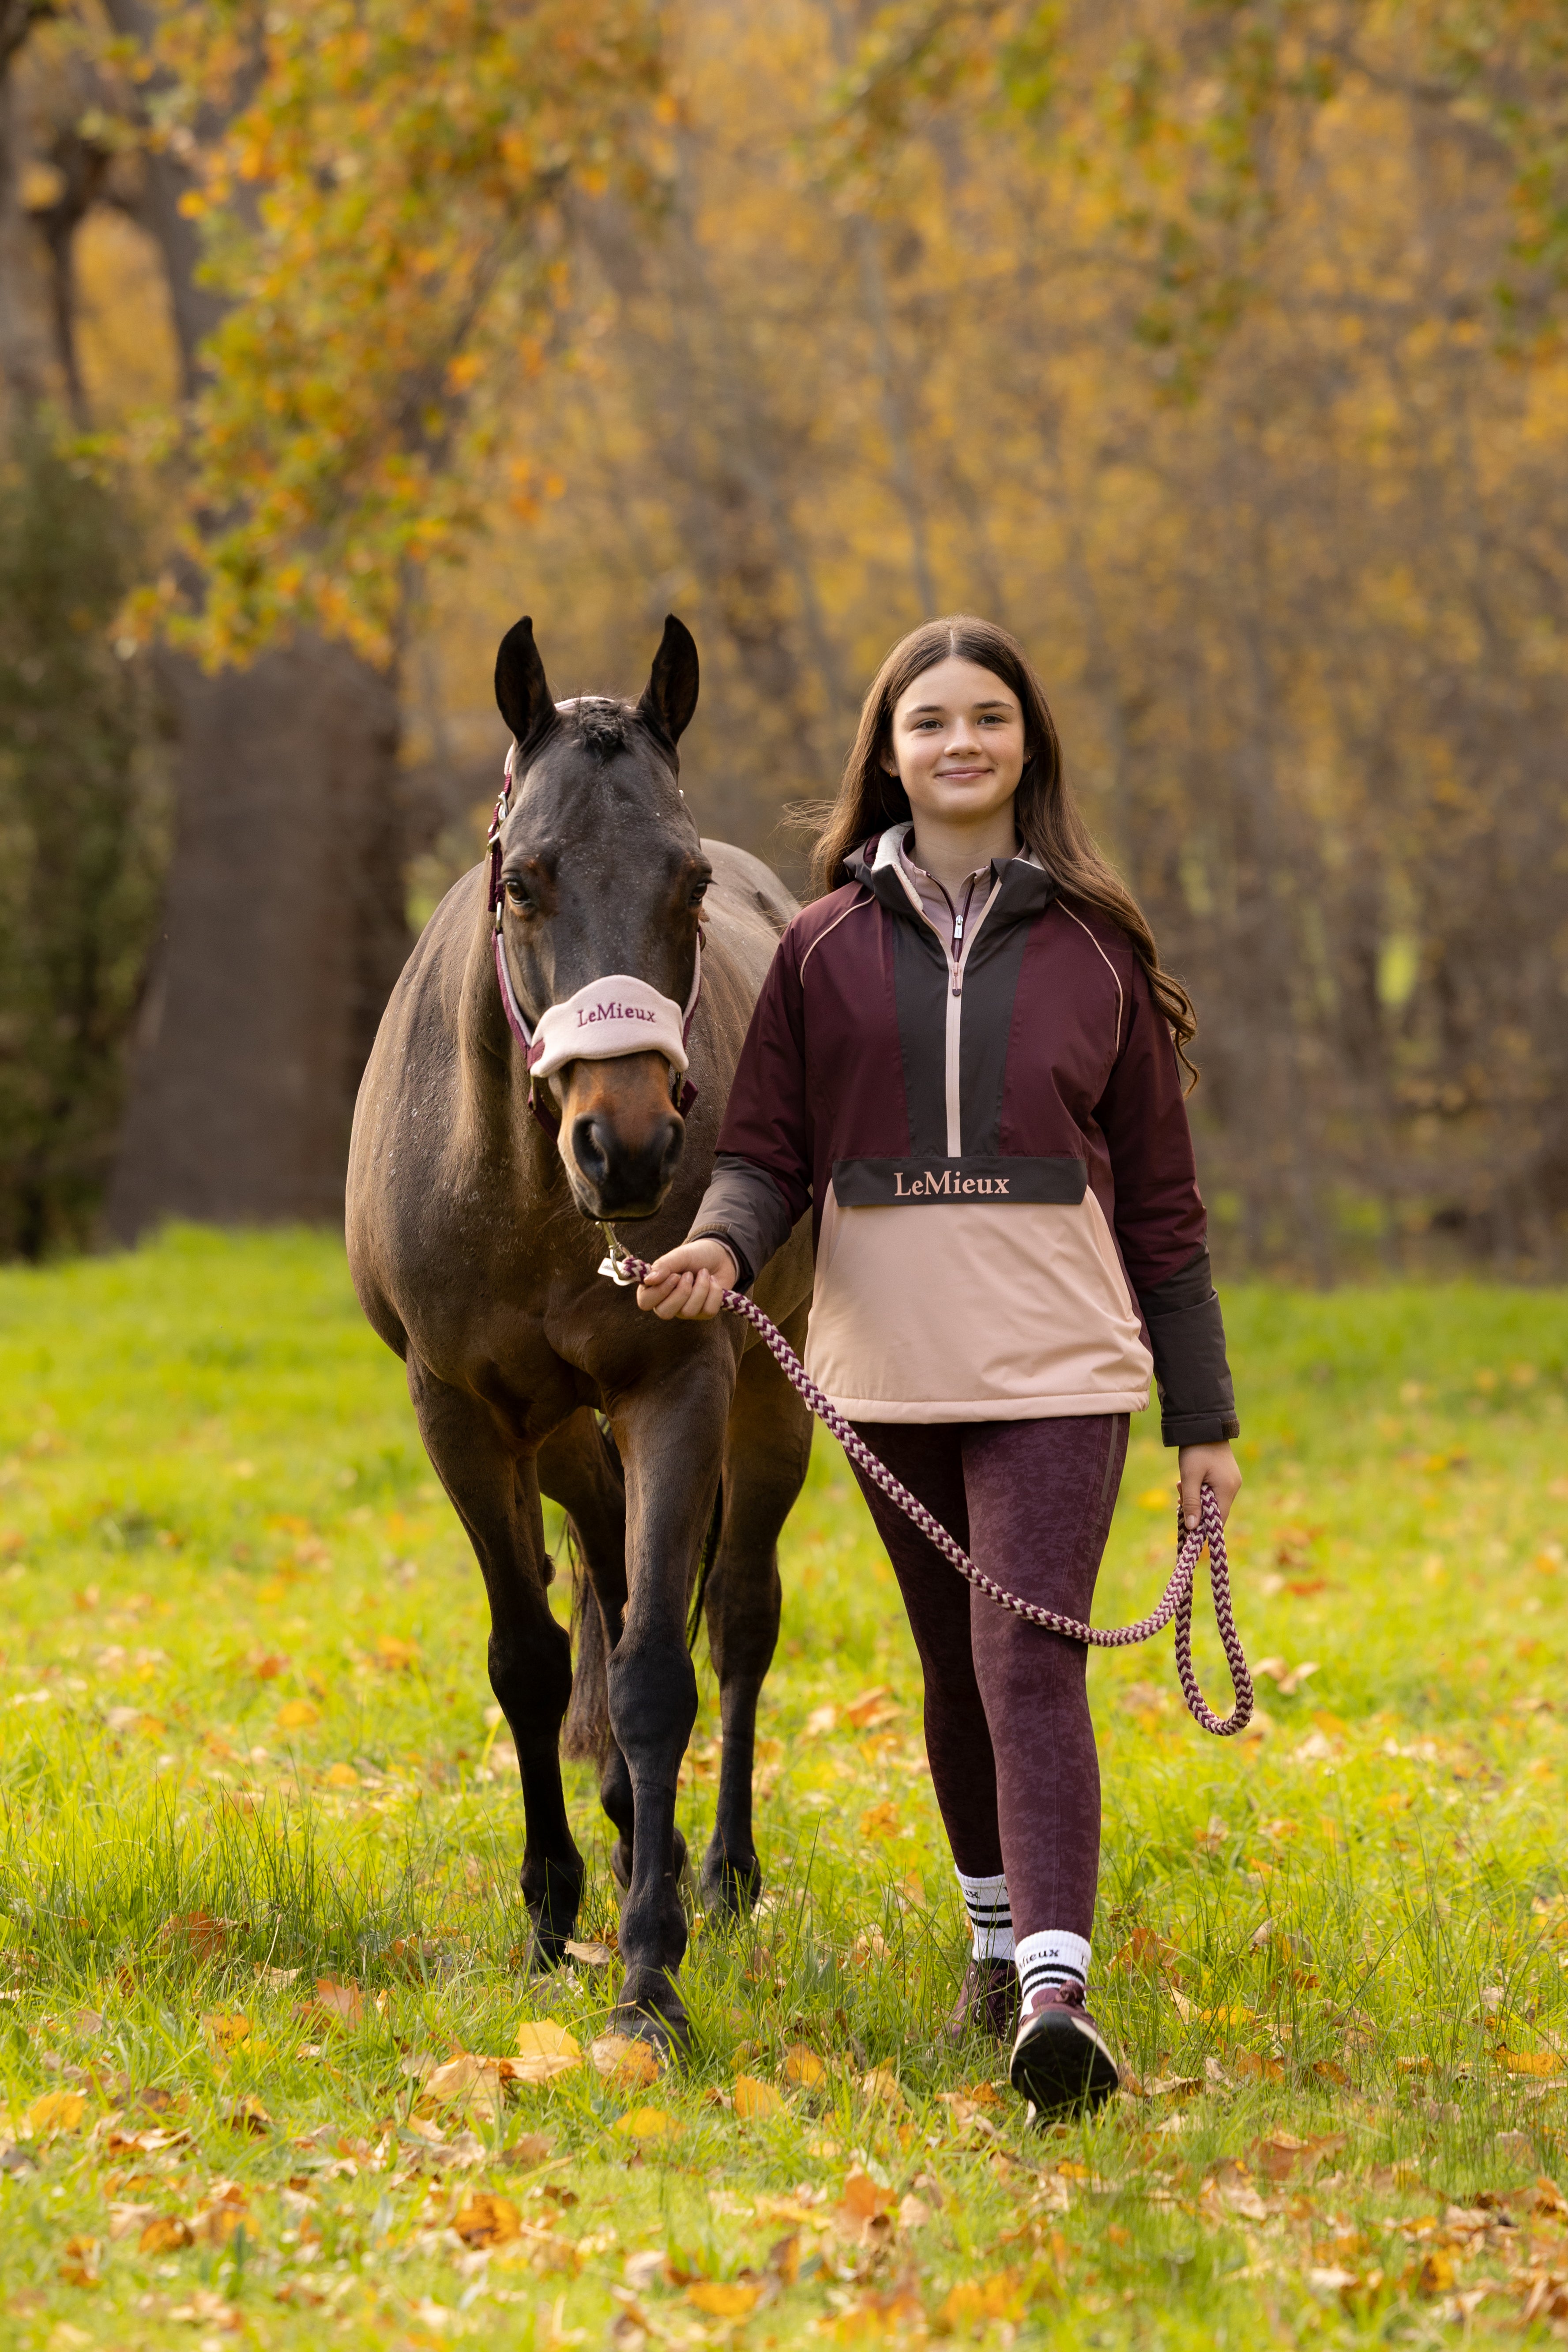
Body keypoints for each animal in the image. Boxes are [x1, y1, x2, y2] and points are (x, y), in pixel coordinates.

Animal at [346, 614, 814, 2048]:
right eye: (523, 883)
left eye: (688, 886)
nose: (630, 1145)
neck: (529, 1192)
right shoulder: (459, 1412)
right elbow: (528, 1661)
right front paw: (553, 1909)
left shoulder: (681, 1386)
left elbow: (661, 1668)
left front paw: (649, 1977)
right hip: (555, 1435)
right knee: (599, 1570)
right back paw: (610, 1834)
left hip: (769, 1405)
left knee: (737, 1616)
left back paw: (717, 1871)